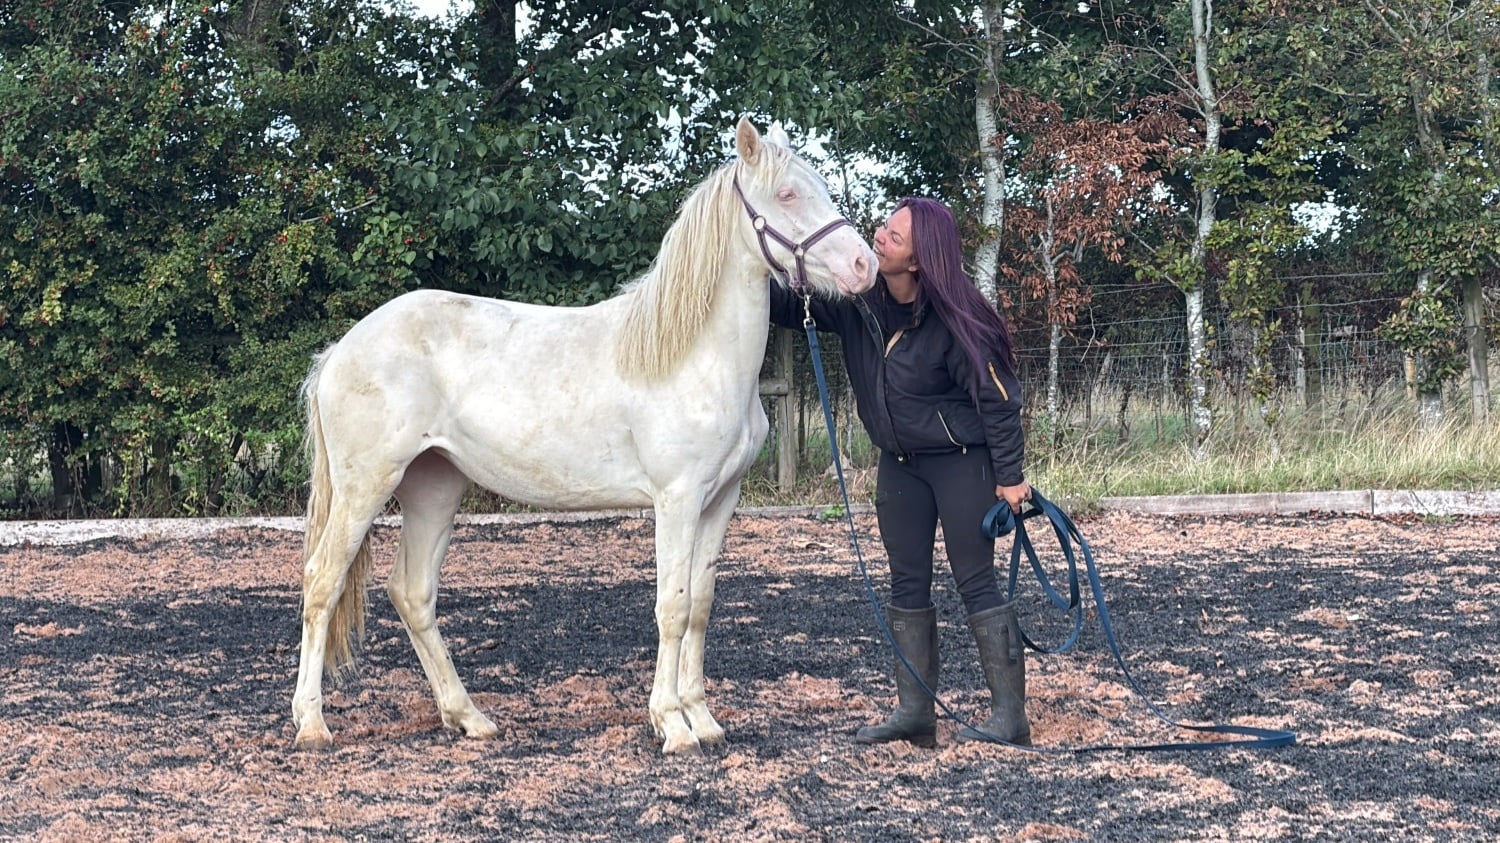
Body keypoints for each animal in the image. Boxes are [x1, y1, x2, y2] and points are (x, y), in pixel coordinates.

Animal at [291, 117, 877, 755]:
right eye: (788, 194)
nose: (865, 266)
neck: (695, 356)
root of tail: (340, 350)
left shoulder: (721, 500)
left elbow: (700, 606)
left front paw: (703, 719)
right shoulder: (677, 500)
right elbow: (672, 607)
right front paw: (672, 725)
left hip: (434, 489)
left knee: (413, 592)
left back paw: (468, 716)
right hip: (365, 488)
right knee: (321, 582)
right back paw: (312, 724)